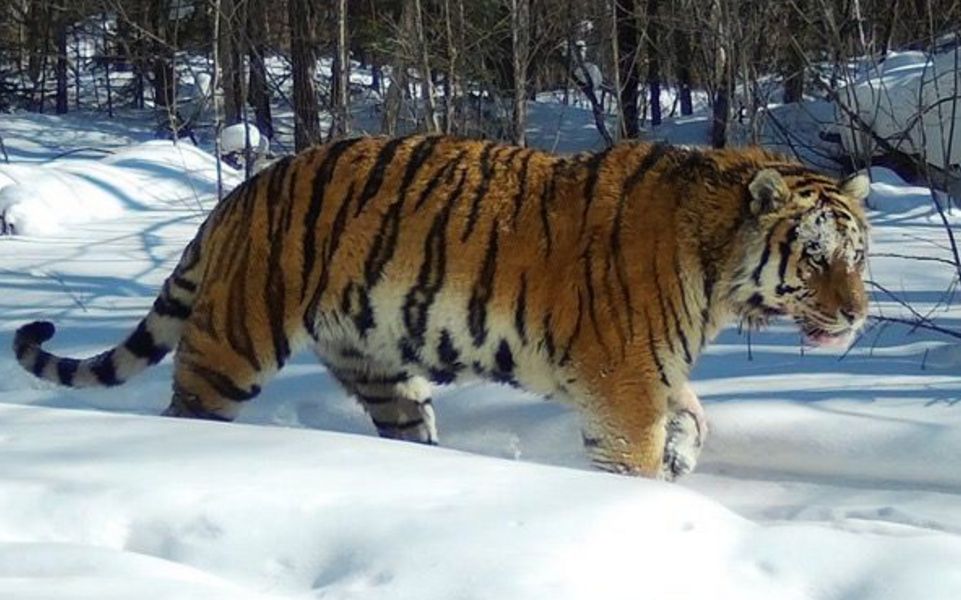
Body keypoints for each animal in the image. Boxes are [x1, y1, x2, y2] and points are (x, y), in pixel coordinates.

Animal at [12, 134, 871, 480]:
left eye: (857, 257)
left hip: (383, 369)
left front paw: (685, 453)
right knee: (188, 412)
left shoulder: (650, 374)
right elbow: (633, 456)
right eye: (814, 258)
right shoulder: (622, 385)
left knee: (404, 426)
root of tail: (237, 196)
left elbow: (694, 413)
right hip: (231, 346)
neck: (718, 262)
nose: (857, 314)